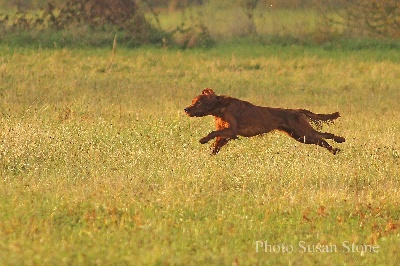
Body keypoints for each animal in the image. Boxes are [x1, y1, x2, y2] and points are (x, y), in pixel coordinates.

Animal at [184, 89, 344, 154]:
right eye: (192, 101)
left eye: (198, 102)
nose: (186, 109)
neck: (221, 107)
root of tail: (297, 110)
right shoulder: (226, 134)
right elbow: (216, 143)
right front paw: (210, 155)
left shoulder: (232, 130)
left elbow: (213, 133)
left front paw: (203, 139)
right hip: (299, 136)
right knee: (321, 139)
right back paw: (335, 150)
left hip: (303, 133)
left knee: (324, 135)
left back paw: (340, 140)